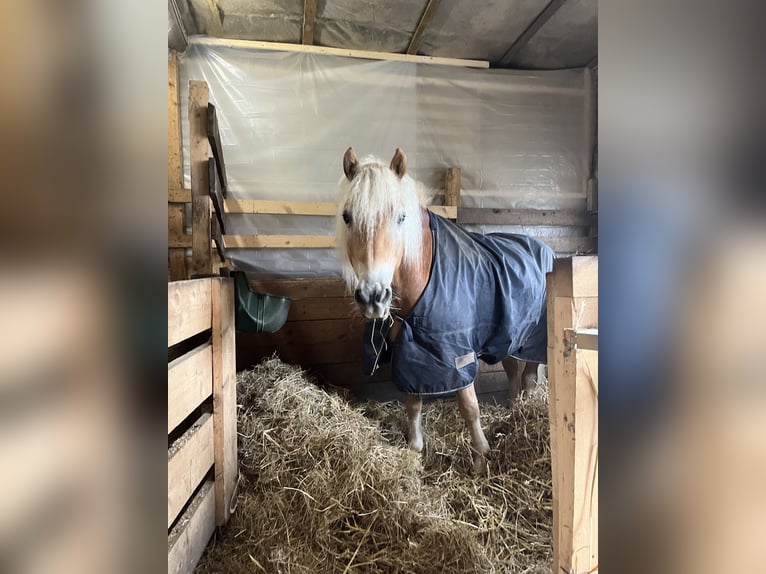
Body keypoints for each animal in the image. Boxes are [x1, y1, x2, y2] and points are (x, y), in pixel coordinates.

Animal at [340, 148, 556, 460]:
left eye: (401, 217)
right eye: (347, 217)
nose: (373, 297)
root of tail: (546, 249)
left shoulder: (458, 355)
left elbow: (469, 407)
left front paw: (481, 457)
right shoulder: (408, 352)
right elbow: (413, 405)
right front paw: (415, 451)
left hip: (533, 341)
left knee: (527, 378)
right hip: (510, 337)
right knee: (514, 375)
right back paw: (514, 412)